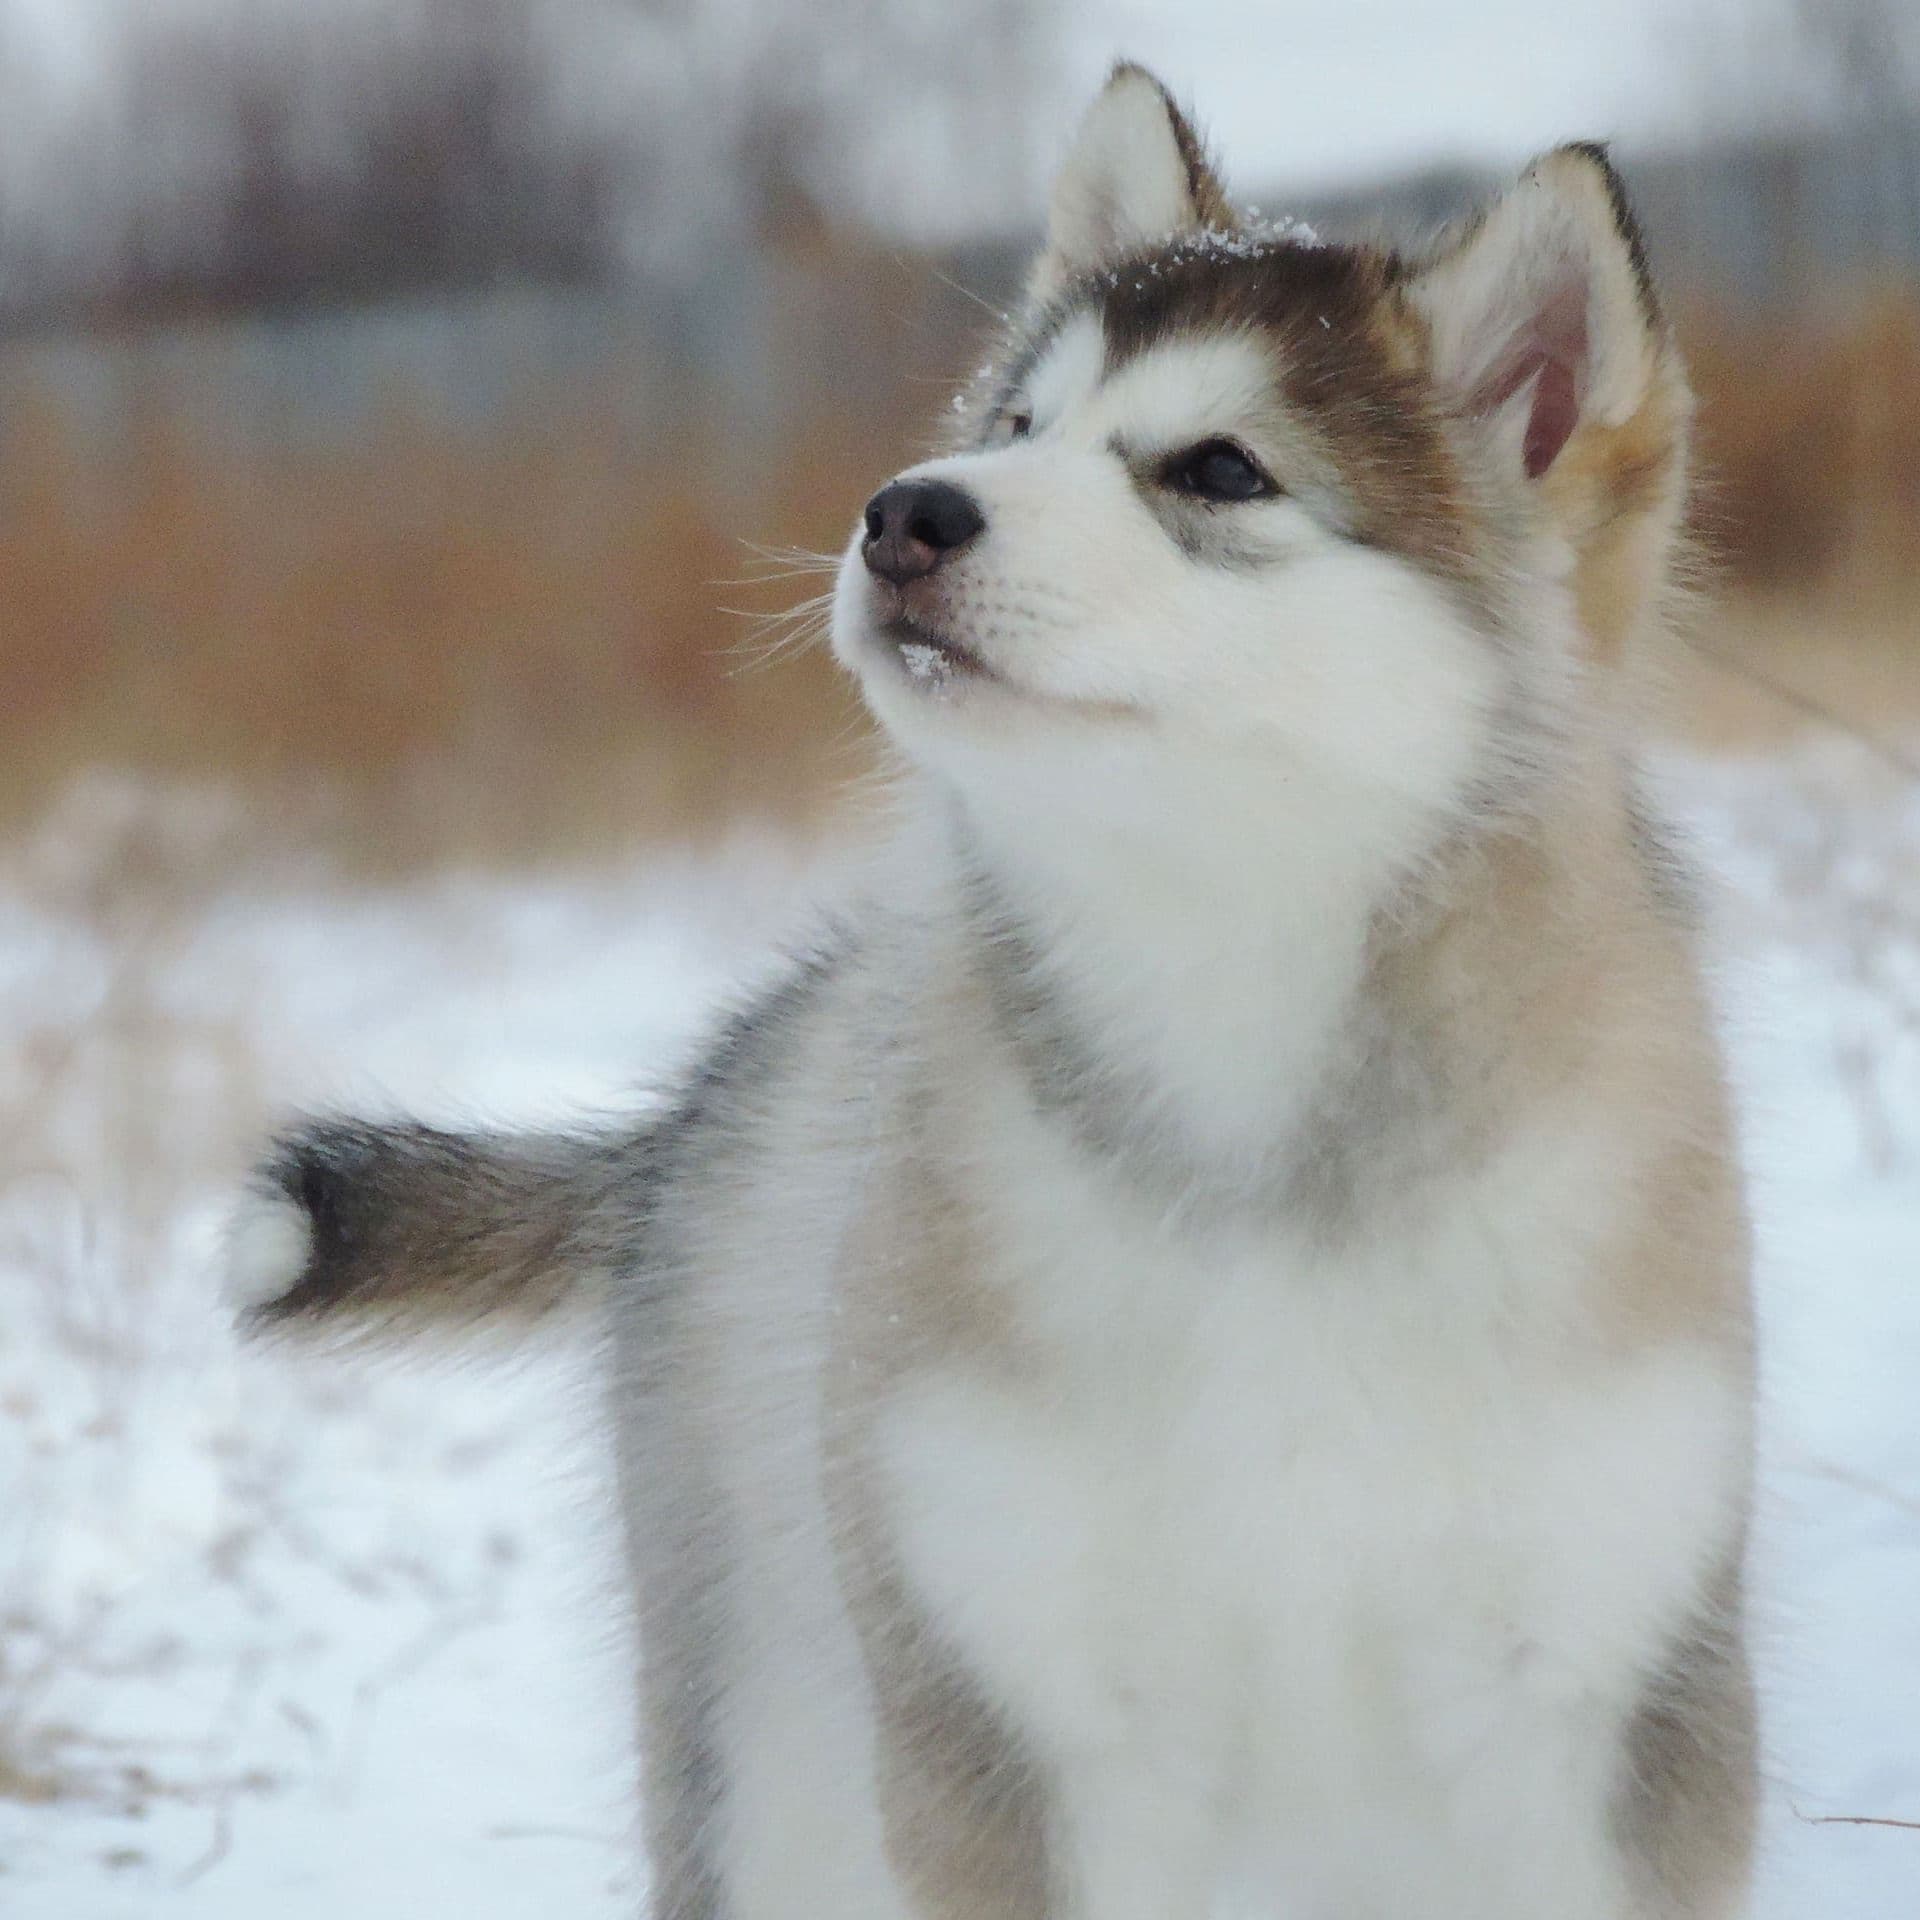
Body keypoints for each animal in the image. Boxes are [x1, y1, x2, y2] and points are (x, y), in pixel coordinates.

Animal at [224, 63, 1758, 1920]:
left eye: (1222, 470)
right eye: (1015, 425)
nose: (906, 509)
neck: (1249, 1074)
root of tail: (704, 1101)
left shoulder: (1601, 1703)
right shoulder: (1017, 1723)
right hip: (773, 1778)